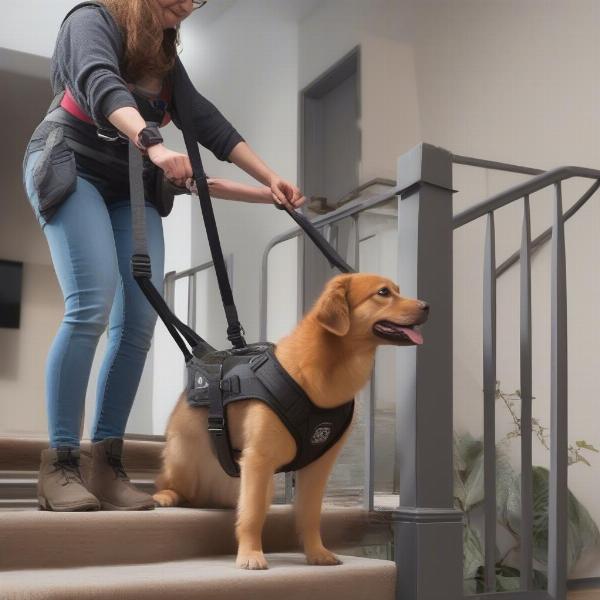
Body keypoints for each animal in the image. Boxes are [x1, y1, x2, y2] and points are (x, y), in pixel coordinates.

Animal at [152, 274, 428, 568]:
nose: (427, 306)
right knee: (169, 483)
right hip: (184, 458)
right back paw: (166, 495)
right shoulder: (259, 459)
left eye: (397, 290)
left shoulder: (317, 467)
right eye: (383, 293)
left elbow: (310, 515)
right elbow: (251, 514)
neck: (327, 367)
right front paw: (250, 554)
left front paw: (316, 552)